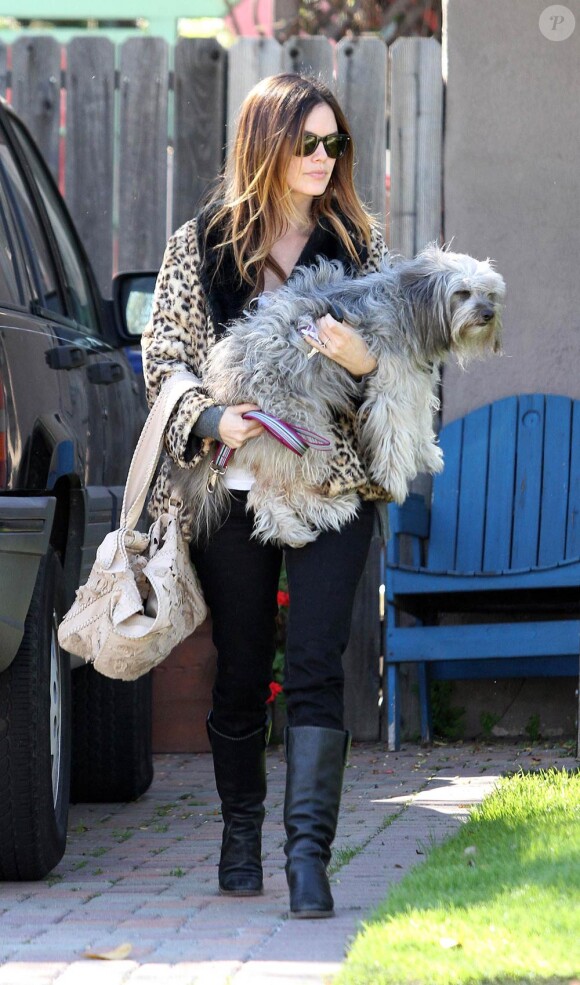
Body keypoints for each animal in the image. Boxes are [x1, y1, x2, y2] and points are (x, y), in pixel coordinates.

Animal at [174, 240, 506, 544]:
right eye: (462, 293)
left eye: (489, 294)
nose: (488, 314)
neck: (409, 305)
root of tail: (223, 380)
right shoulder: (391, 386)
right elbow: (395, 434)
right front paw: (395, 481)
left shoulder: (414, 379)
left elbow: (420, 417)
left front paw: (427, 452)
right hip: (301, 429)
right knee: (271, 493)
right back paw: (314, 517)